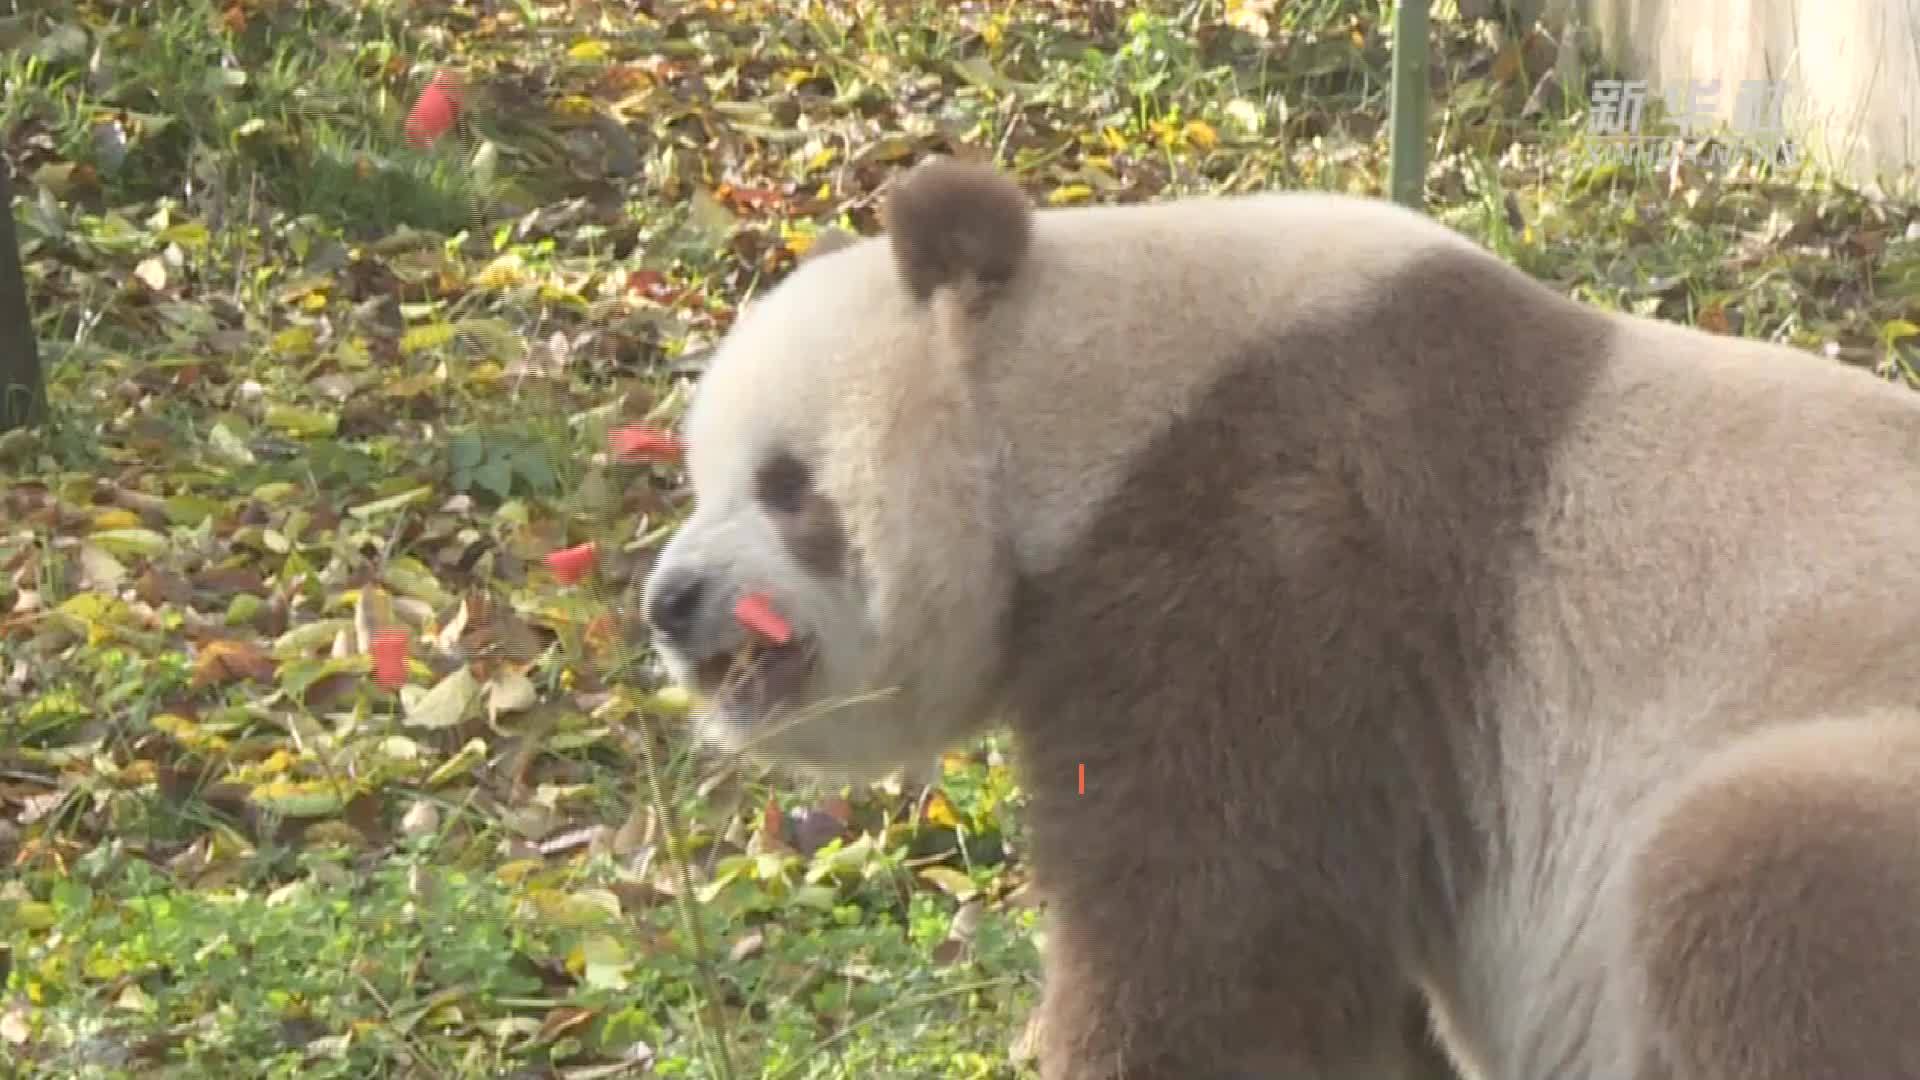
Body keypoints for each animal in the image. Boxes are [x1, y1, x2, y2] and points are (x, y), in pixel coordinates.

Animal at [637, 159, 1920, 1076]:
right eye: (698, 476)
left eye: (784, 484)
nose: (670, 601)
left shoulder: (1274, 555)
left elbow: (1226, 958)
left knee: (1750, 887)